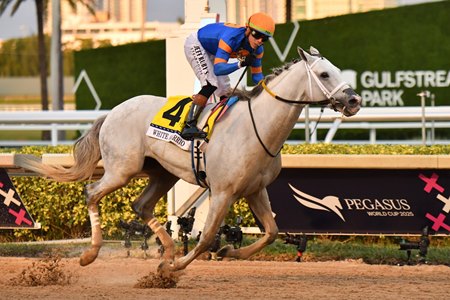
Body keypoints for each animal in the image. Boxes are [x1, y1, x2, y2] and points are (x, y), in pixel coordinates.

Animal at [22, 47, 362, 276]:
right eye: (324, 74)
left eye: (336, 69)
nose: (354, 100)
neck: (258, 127)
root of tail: (112, 112)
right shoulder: (223, 191)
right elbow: (206, 236)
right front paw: (174, 268)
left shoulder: (255, 189)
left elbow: (271, 231)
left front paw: (228, 251)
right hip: (122, 170)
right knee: (92, 193)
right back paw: (91, 254)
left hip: (162, 174)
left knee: (141, 206)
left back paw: (168, 252)